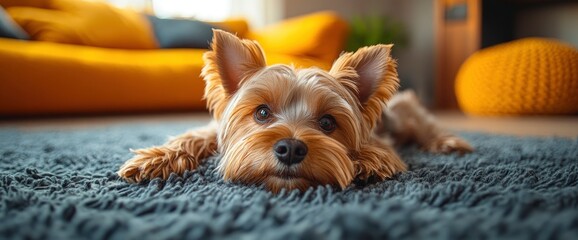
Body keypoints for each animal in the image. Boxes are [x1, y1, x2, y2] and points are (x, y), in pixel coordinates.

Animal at [117, 29, 472, 192]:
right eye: (261, 113)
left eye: (328, 122)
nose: (290, 148)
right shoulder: (213, 129)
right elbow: (190, 137)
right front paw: (153, 160)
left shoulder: (382, 139)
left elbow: (381, 152)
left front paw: (367, 163)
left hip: (404, 113)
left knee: (425, 125)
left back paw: (450, 143)